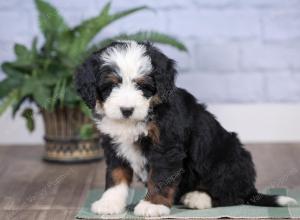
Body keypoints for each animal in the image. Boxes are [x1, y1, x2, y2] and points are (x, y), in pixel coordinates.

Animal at [74, 40, 296, 217]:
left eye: (143, 86)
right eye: (111, 86)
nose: (126, 110)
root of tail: (251, 188)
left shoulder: (166, 146)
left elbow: (160, 177)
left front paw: (152, 205)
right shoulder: (114, 145)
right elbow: (116, 175)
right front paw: (109, 203)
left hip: (228, 158)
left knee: (232, 194)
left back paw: (198, 198)